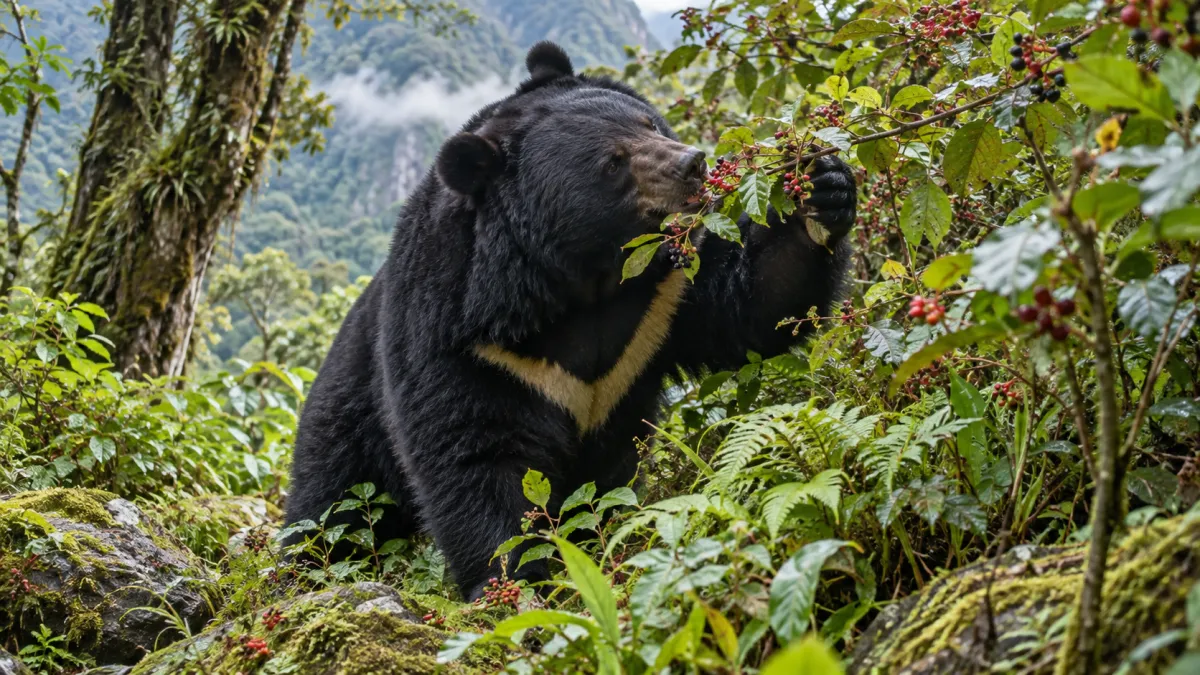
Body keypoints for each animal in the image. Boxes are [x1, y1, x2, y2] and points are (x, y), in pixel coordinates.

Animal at [284, 41, 858, 601]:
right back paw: (301, 572)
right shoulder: (460, 335)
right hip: (348, 414)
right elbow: (471, 454)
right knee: (329, 504)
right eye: (613, 162)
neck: (583, 277)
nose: (693, 163)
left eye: (648, 122)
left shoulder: (666, 299)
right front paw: (514, 584)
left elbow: (751, 308)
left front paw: (823, 188)